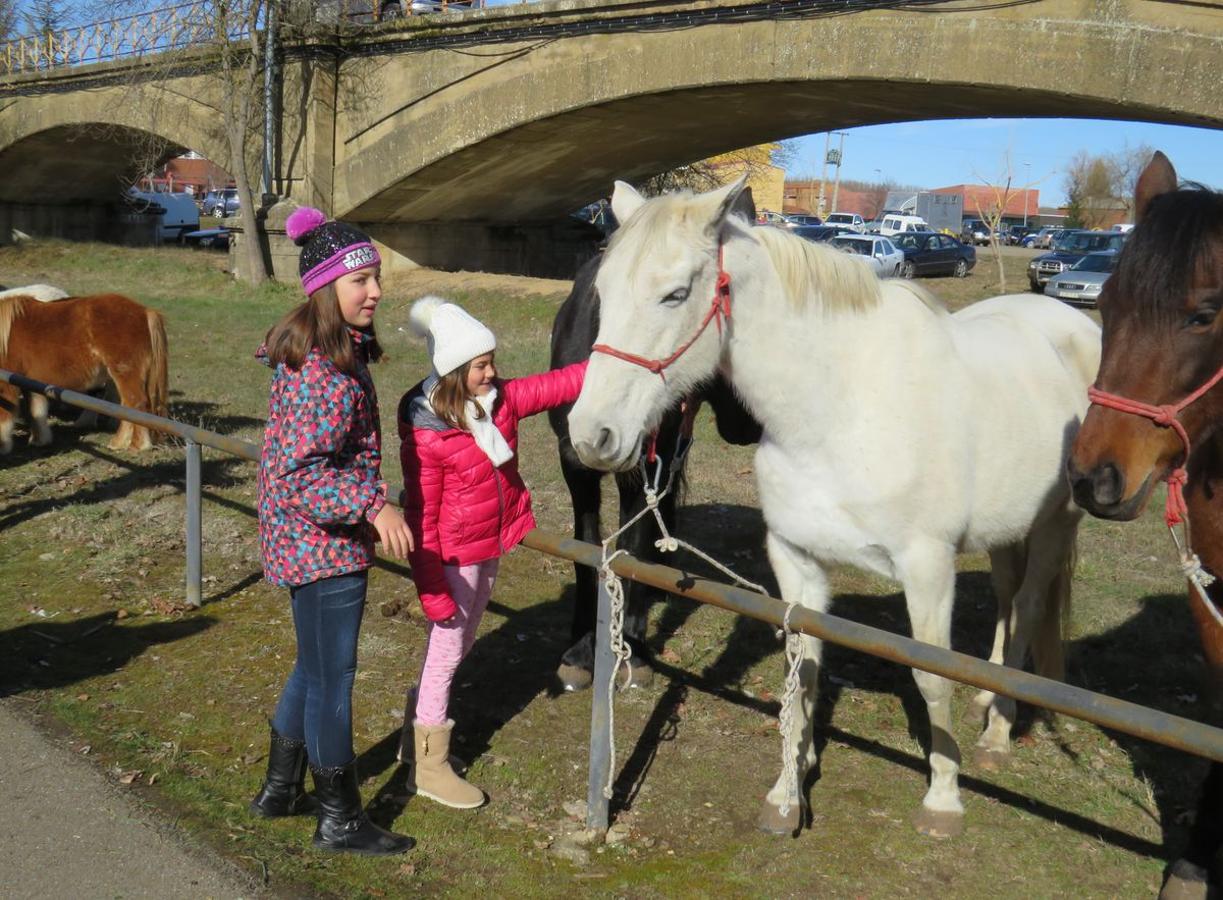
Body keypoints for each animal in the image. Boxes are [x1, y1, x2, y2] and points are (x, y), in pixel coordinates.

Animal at [0, 293, 168, 452]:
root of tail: (145, 312)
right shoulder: (30, 382)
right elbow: (35, 411)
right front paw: (40, 440)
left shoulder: (7, 383)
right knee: (127, 406)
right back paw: (118, 443)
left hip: (125, 373)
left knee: (136, 403)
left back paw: (138, 446)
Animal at [567, 179, 1105, 841]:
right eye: (602, 293)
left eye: (675, 294)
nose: (591, 434)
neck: (839, 407)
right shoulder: (795, 558)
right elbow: (803, 671)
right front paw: (787, 791)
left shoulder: (928, 568)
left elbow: (932, 679)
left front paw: (943, 800)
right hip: (1008, 530)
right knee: (1007, 602)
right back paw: (988, 700)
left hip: (1058, 522)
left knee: (1028, 606)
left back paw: (998, 731)